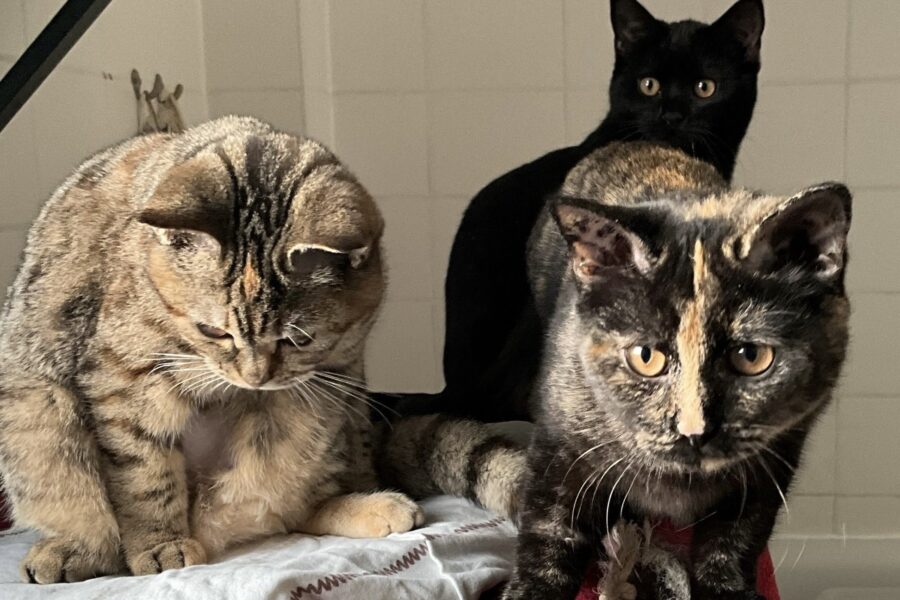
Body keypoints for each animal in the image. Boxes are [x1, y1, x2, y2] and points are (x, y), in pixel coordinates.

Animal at [0, 116, 523, 583]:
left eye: (297, 339)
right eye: (212, 331)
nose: (254, 379)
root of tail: (209, 519)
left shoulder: (341, 374)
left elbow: (347, 457)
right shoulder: (124, 383)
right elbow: (144, 476)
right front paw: (158, 543)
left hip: (309, 413)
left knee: (296, 504)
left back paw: (368, 503)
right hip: (36, 412)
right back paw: (73, 551)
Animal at [503, 142, 851, 599]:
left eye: (751, 355)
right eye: (645, 357)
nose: (693, 430)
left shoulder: (777, 452)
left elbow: (735, 539)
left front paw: (727, 588)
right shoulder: (558, 442)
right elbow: (548, 531)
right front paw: (532, 587)